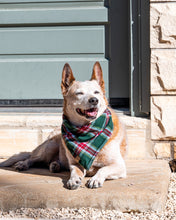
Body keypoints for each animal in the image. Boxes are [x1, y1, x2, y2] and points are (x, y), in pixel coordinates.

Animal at [0, 62, 128, 189]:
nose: (94, 100)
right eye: (79, 93)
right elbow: (75, 171)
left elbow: (103, 169)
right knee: (32, 158)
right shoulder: (75, 163)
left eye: (96, 92)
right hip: (50, 147)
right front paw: (74, 179)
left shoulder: (119, 165)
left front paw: (95, 179)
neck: (86, 131)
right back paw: (24, 164)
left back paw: (55, 165)